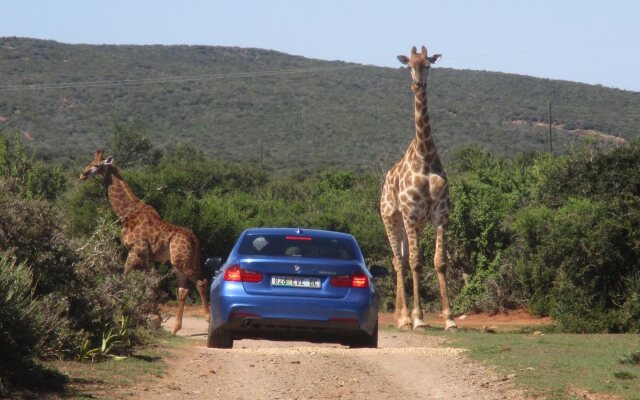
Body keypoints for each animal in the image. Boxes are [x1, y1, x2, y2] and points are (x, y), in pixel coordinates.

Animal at [79, 150, 210, 334]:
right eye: (90, 162)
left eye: (97, 165)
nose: (83, 174)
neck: (126, 214)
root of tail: (195, 238)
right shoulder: (145, 256)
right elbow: (150, 284)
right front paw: (155, 318)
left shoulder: (136, 251)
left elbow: (126, 277)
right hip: (178, 263)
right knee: (183, 290)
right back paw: (175, 328)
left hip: (183, 261)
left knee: (201, 282)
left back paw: (208, 319)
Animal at [378, 45, 458, 330]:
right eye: (408, 65)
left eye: (428, 65)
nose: (417, 85)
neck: (425, 156)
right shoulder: (411, 214)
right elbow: (416, 262)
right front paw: (419, 318)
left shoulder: (439, 215)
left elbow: (439, 262)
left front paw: (449, 318)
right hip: (391, 218)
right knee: (398, 261)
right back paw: (404, 318)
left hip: (411, 225)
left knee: (399, 258)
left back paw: (401, 315)